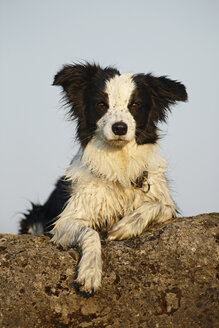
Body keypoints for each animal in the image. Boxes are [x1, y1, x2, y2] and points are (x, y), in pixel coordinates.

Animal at [20, 62, 186, 294]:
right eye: (101, 104)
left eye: (135, 104)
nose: (120, 128)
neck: (119, 165)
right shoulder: (64, 221)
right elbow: (90, 233)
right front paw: (90, 272)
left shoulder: (166, 203)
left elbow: (156, 205)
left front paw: (126, 226)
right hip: (35, 214)